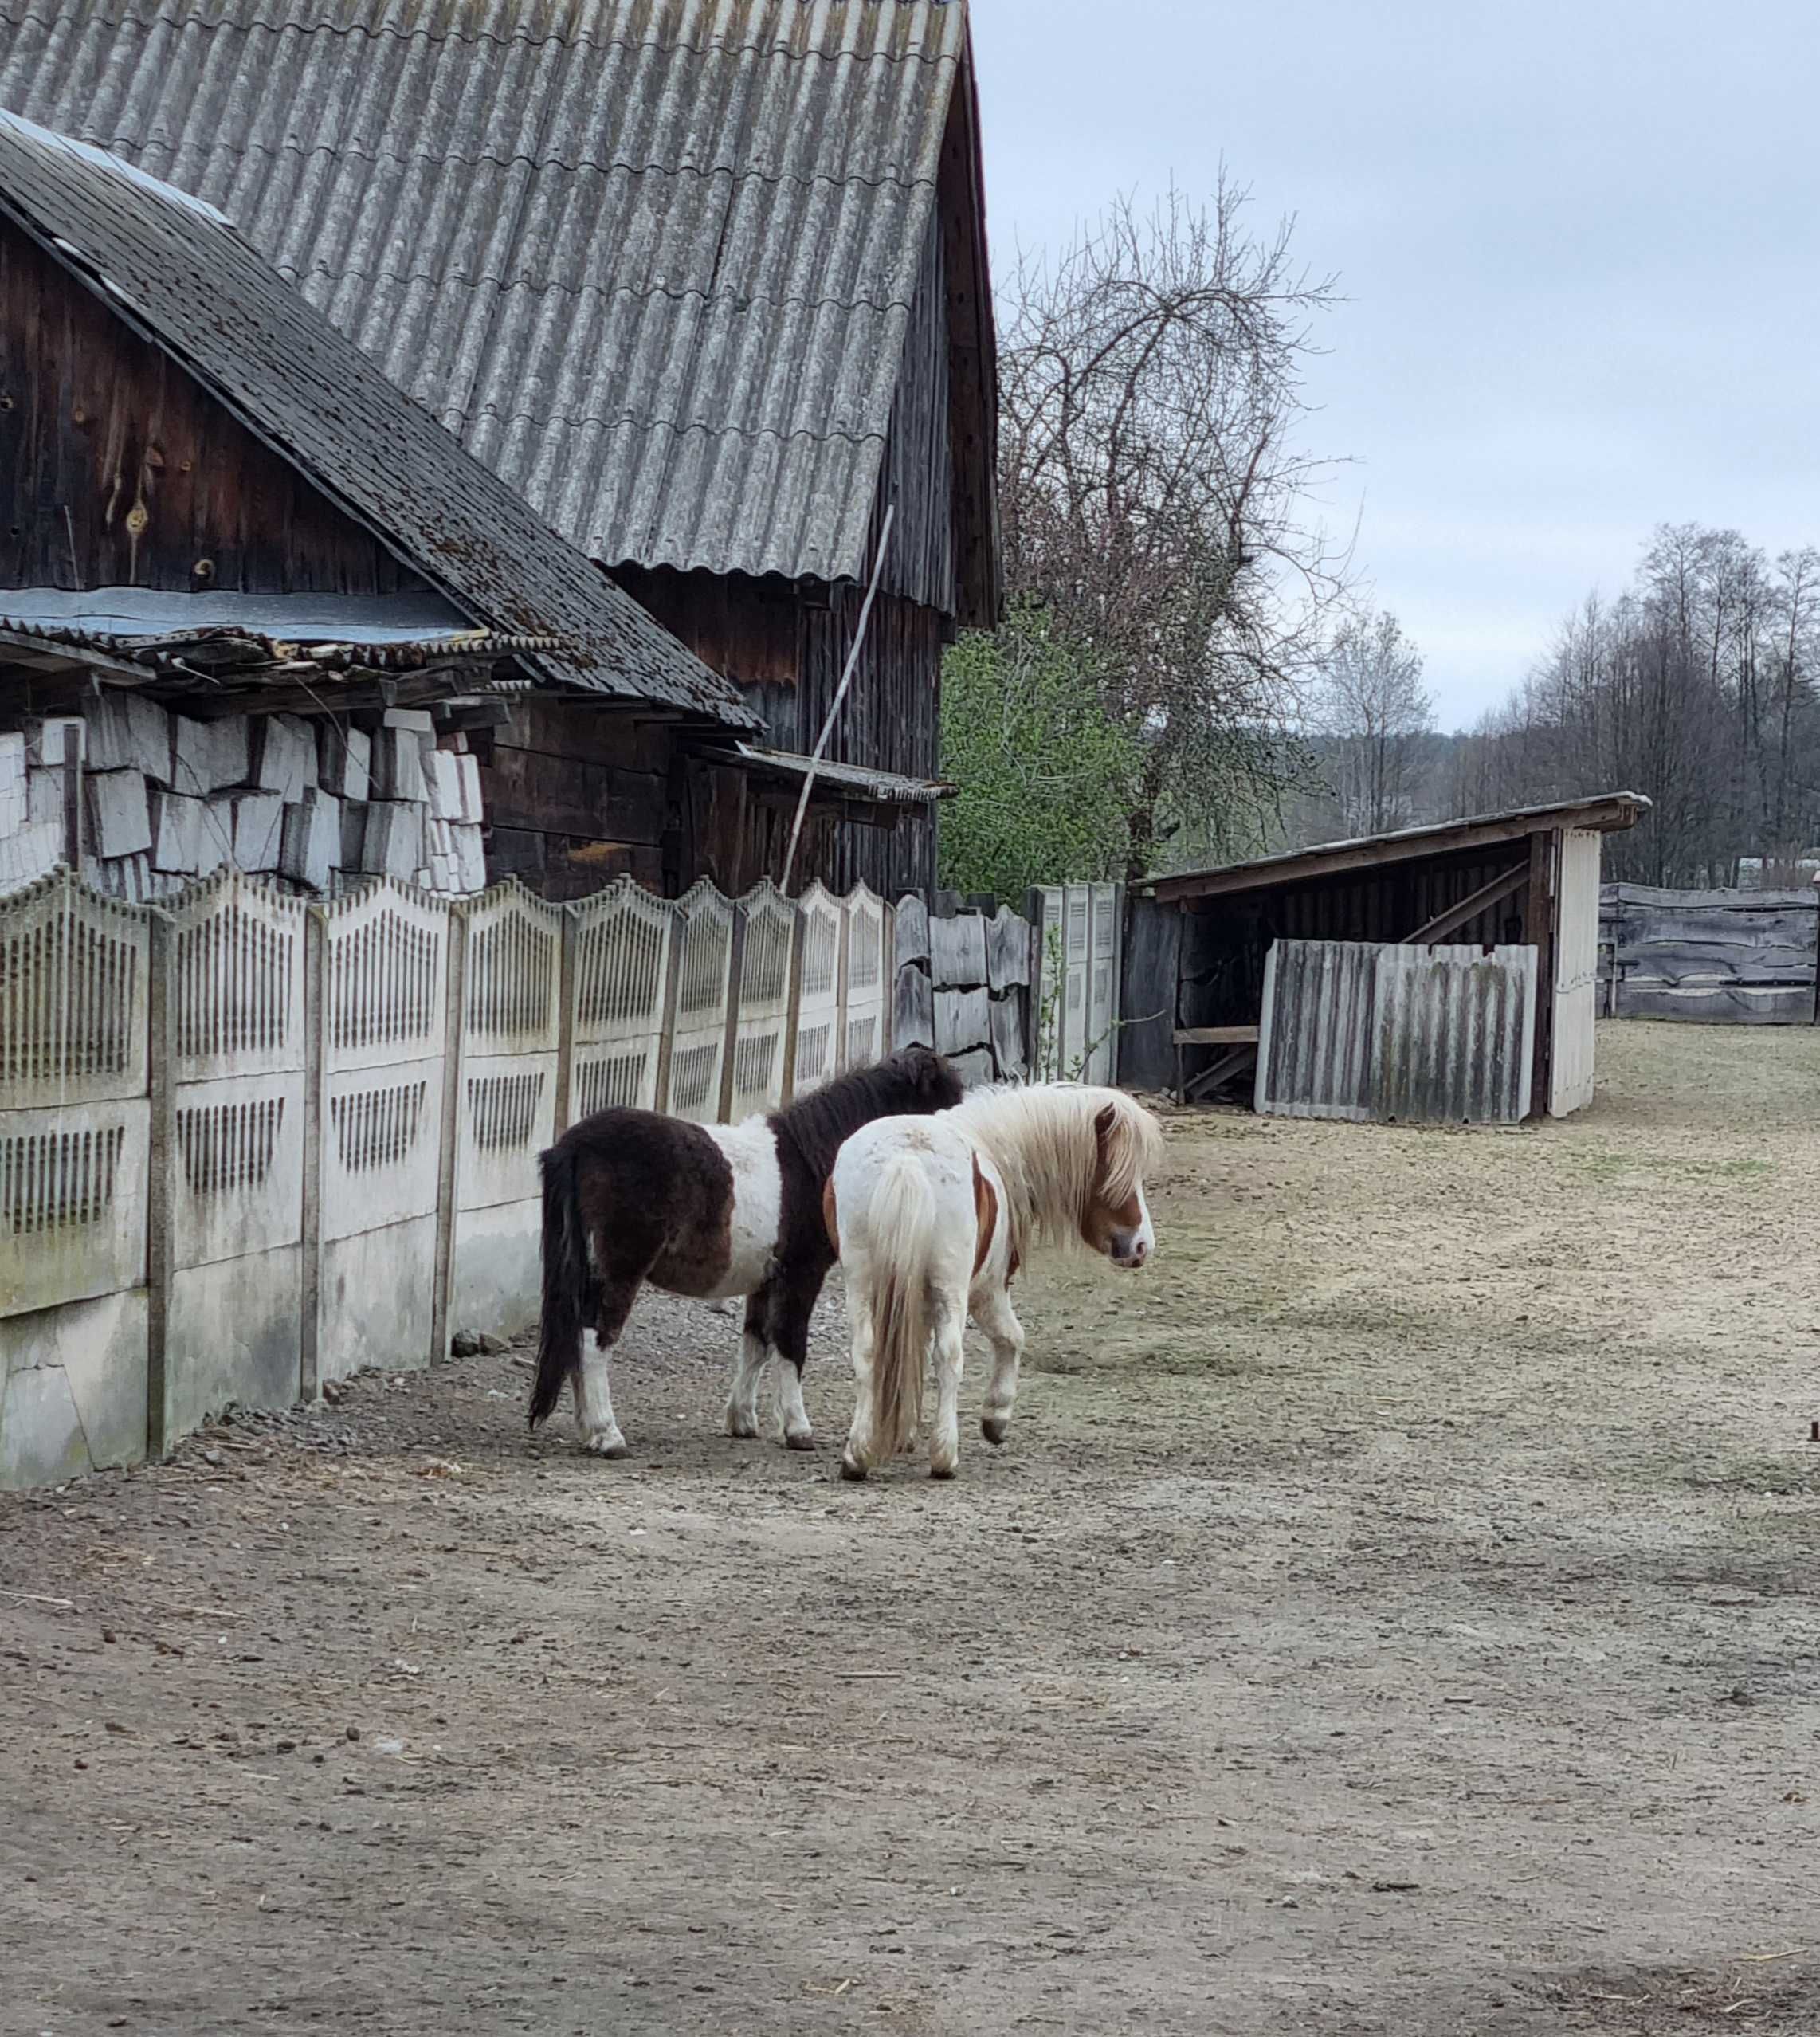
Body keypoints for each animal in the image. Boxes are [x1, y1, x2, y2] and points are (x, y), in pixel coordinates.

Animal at [529, 1042, 969, 1458]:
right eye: (945, 1098)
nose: (967, 1151)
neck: (811, 1161)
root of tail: (575, 1144)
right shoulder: (801, 1274)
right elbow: (790, 1342)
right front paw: (798, 1429)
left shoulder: (765, 1279)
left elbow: (755, 1344)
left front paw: (742, 1420)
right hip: (621, 1268)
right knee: (594, 1340)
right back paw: (608, 1435)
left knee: (576, 1338)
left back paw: (589, 1430)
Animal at [826, 1083, 1172, 1482]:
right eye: (1116, 1171)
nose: (1142, 1246)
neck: (994, 1149)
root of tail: (907, 1159)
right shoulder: (989, 1291)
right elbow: (1012, 1339)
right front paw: (996, 1416)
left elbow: (910, 1351)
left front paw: (903, 1433)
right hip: (951, 1289)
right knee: (950, 1356)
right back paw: (944, 1457)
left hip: (863, 1284)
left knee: (867, 1353)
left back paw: (857, 1455)